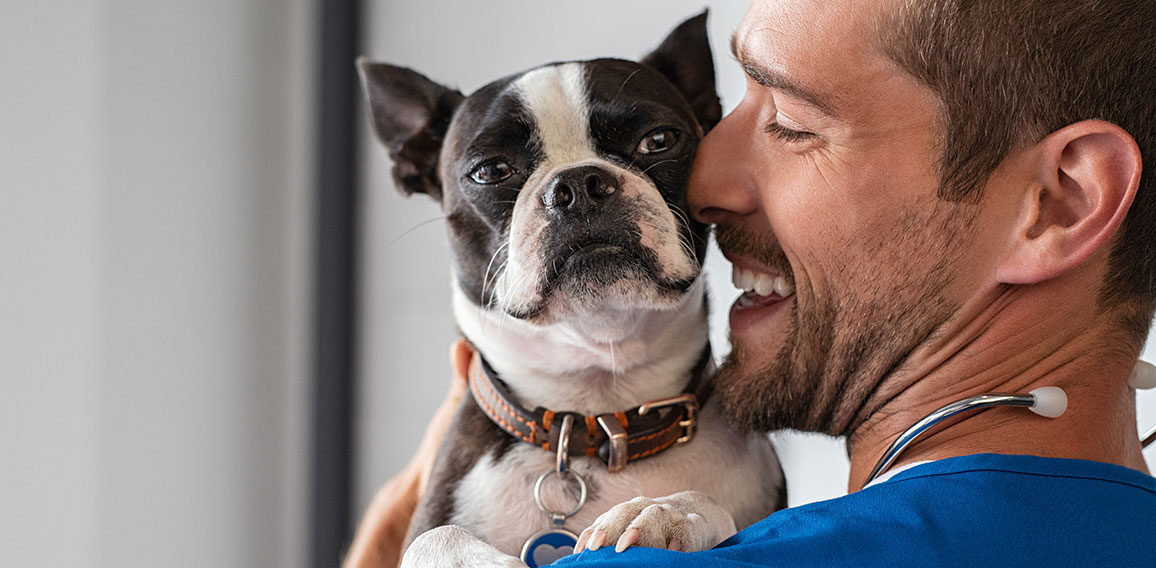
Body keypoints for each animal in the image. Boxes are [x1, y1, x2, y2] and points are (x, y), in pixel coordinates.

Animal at [356, 13, 781, 568]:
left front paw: (663, 512)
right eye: (490, 171)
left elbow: (702, 502)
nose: (578, 185)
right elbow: (435, 538)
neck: (594, 412)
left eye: (659, 140)